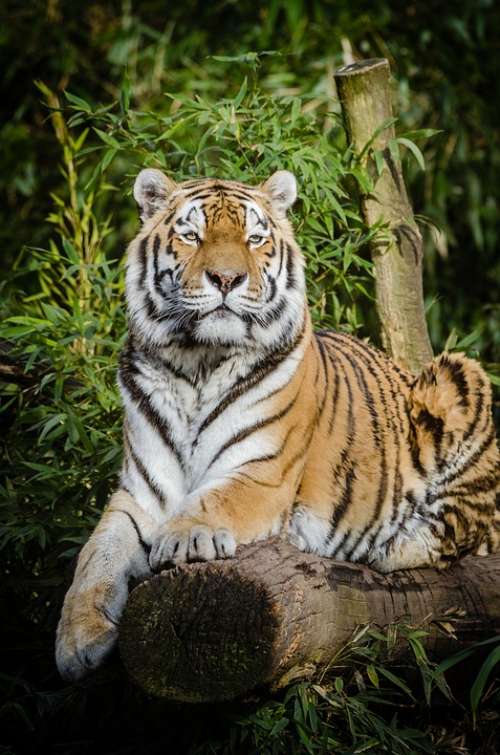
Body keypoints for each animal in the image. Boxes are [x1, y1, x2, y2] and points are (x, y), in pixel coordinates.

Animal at [55, 170, 500, 680]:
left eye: (254, 239)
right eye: (192, 236)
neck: (196, 363)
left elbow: (213, 499)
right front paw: (77, 639)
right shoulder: (141, 493)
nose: (227, 278)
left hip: (459, 376)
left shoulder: (262, 474)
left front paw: (183, 537)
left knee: (457, 532)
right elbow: (95, 556)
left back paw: (391, 547)